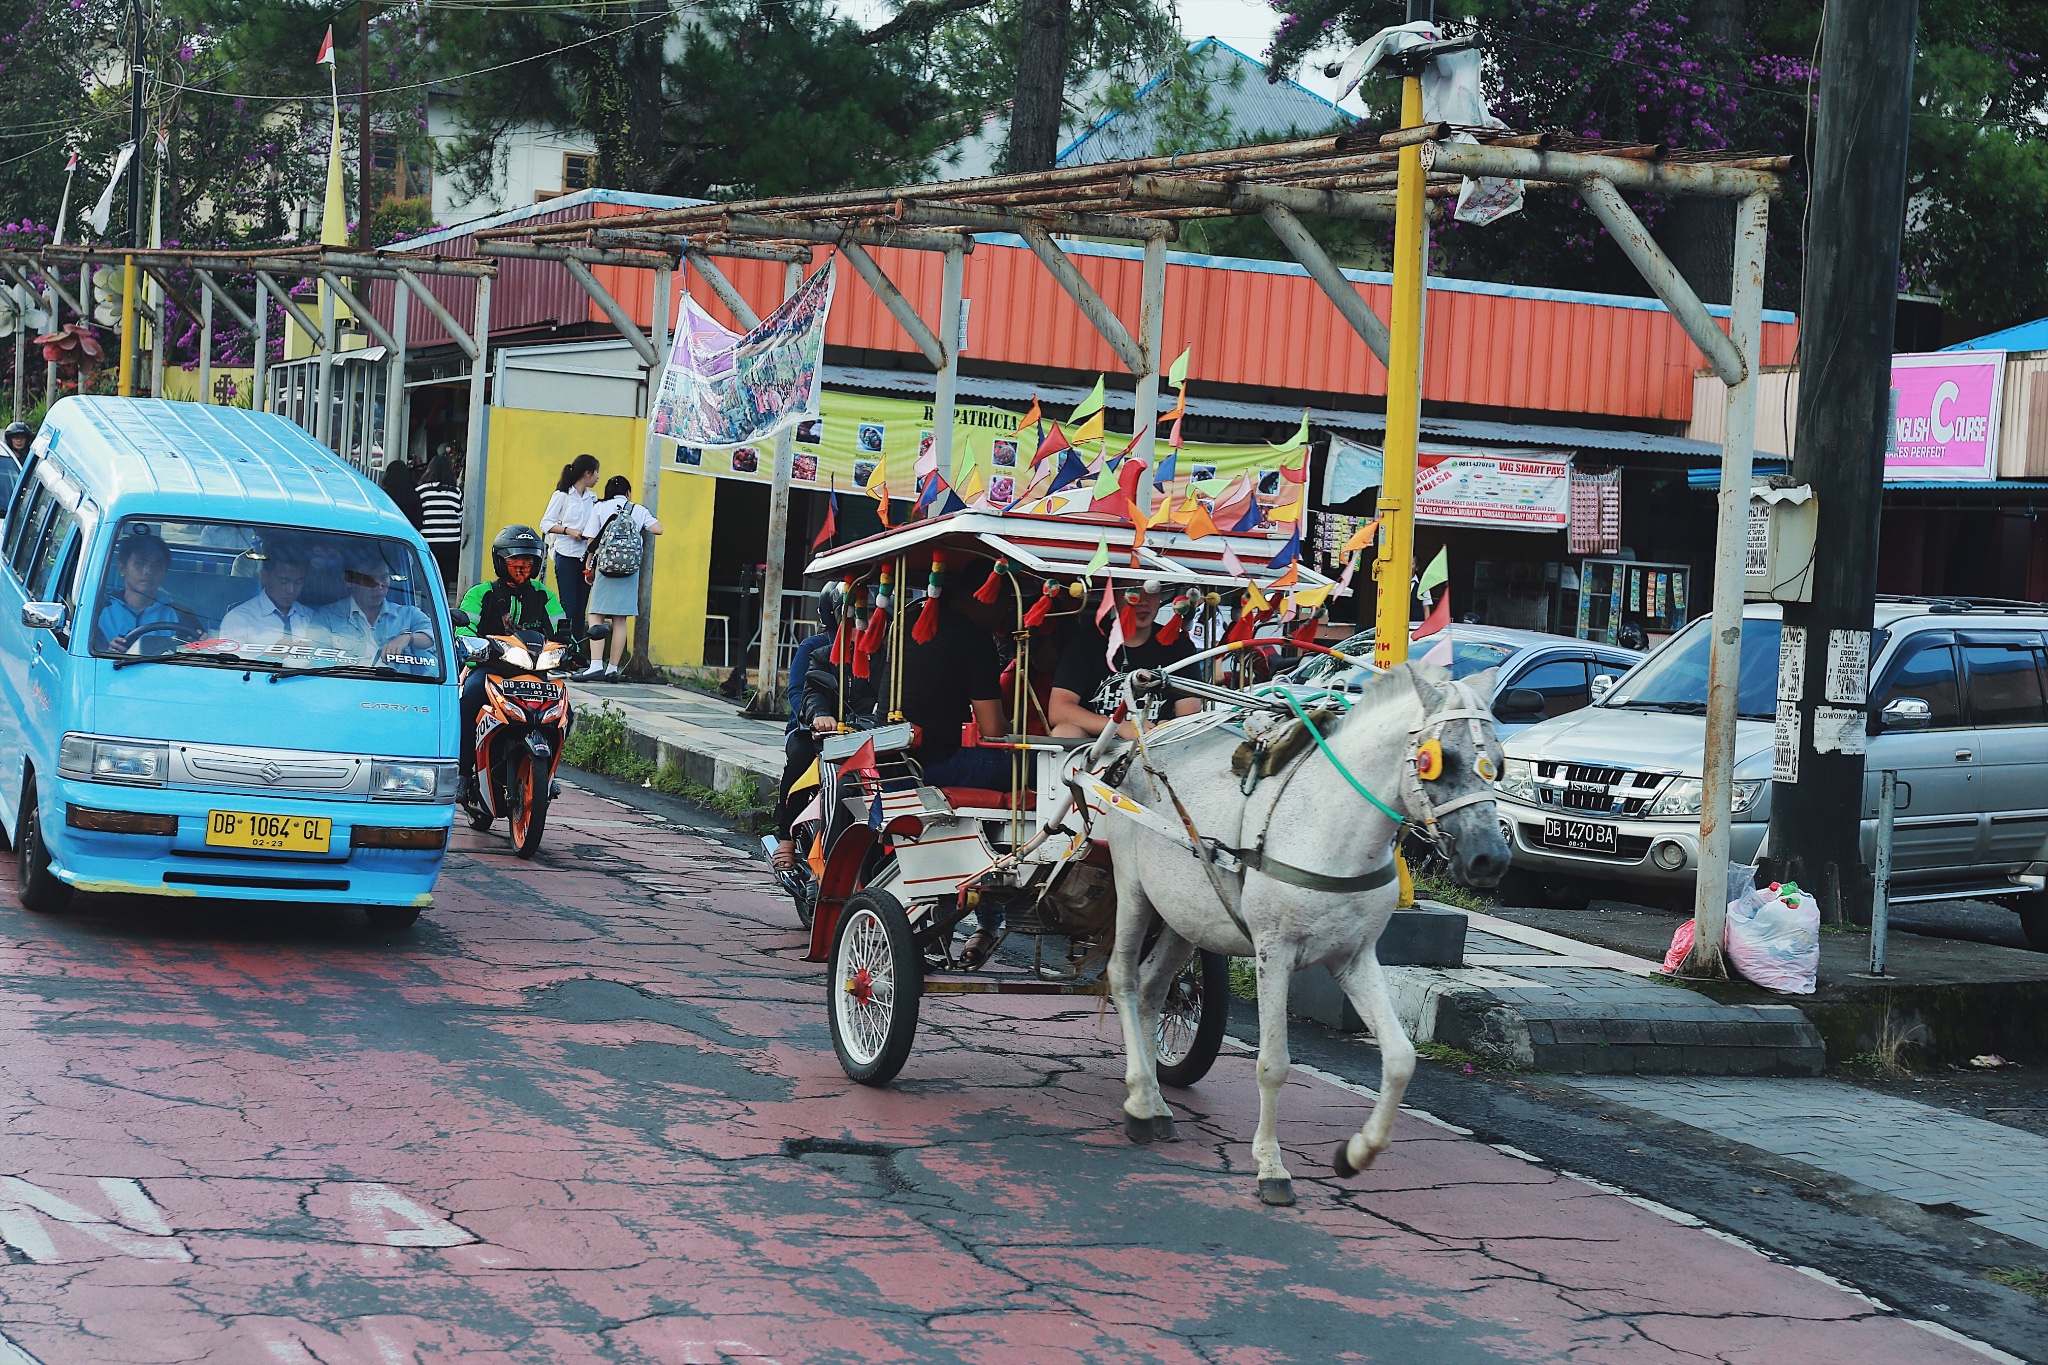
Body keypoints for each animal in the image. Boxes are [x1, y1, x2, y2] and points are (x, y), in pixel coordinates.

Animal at [1105, 663, 1507, 1203]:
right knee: (1124, 978)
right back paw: (1138, 1100)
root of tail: (1143, 742)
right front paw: (1271, 1166)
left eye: (1498, 764)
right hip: (1133, 887)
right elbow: (1273, 1063)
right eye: (1435, 761)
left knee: (1152, 988)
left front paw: (1357, 1154)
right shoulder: (1273, 953)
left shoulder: (1354, 957)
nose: (1491, 859)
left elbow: (1401, 1058)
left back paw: (1153, 1099)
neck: (1331, 824)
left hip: (1185, 915)